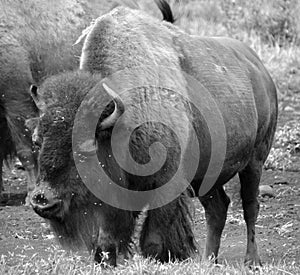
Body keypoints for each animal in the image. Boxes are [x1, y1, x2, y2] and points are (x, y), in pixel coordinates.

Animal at [29, 0, 278, 268]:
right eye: (37, 141)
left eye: (85, 148)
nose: (42, 199)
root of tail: (261, 71)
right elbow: (107, 240)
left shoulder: (167, 182)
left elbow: (153, 237)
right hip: (207, 177)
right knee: (218, 209)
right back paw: (208, 260)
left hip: (255, 162)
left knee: (250, 206)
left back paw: (252, 260)